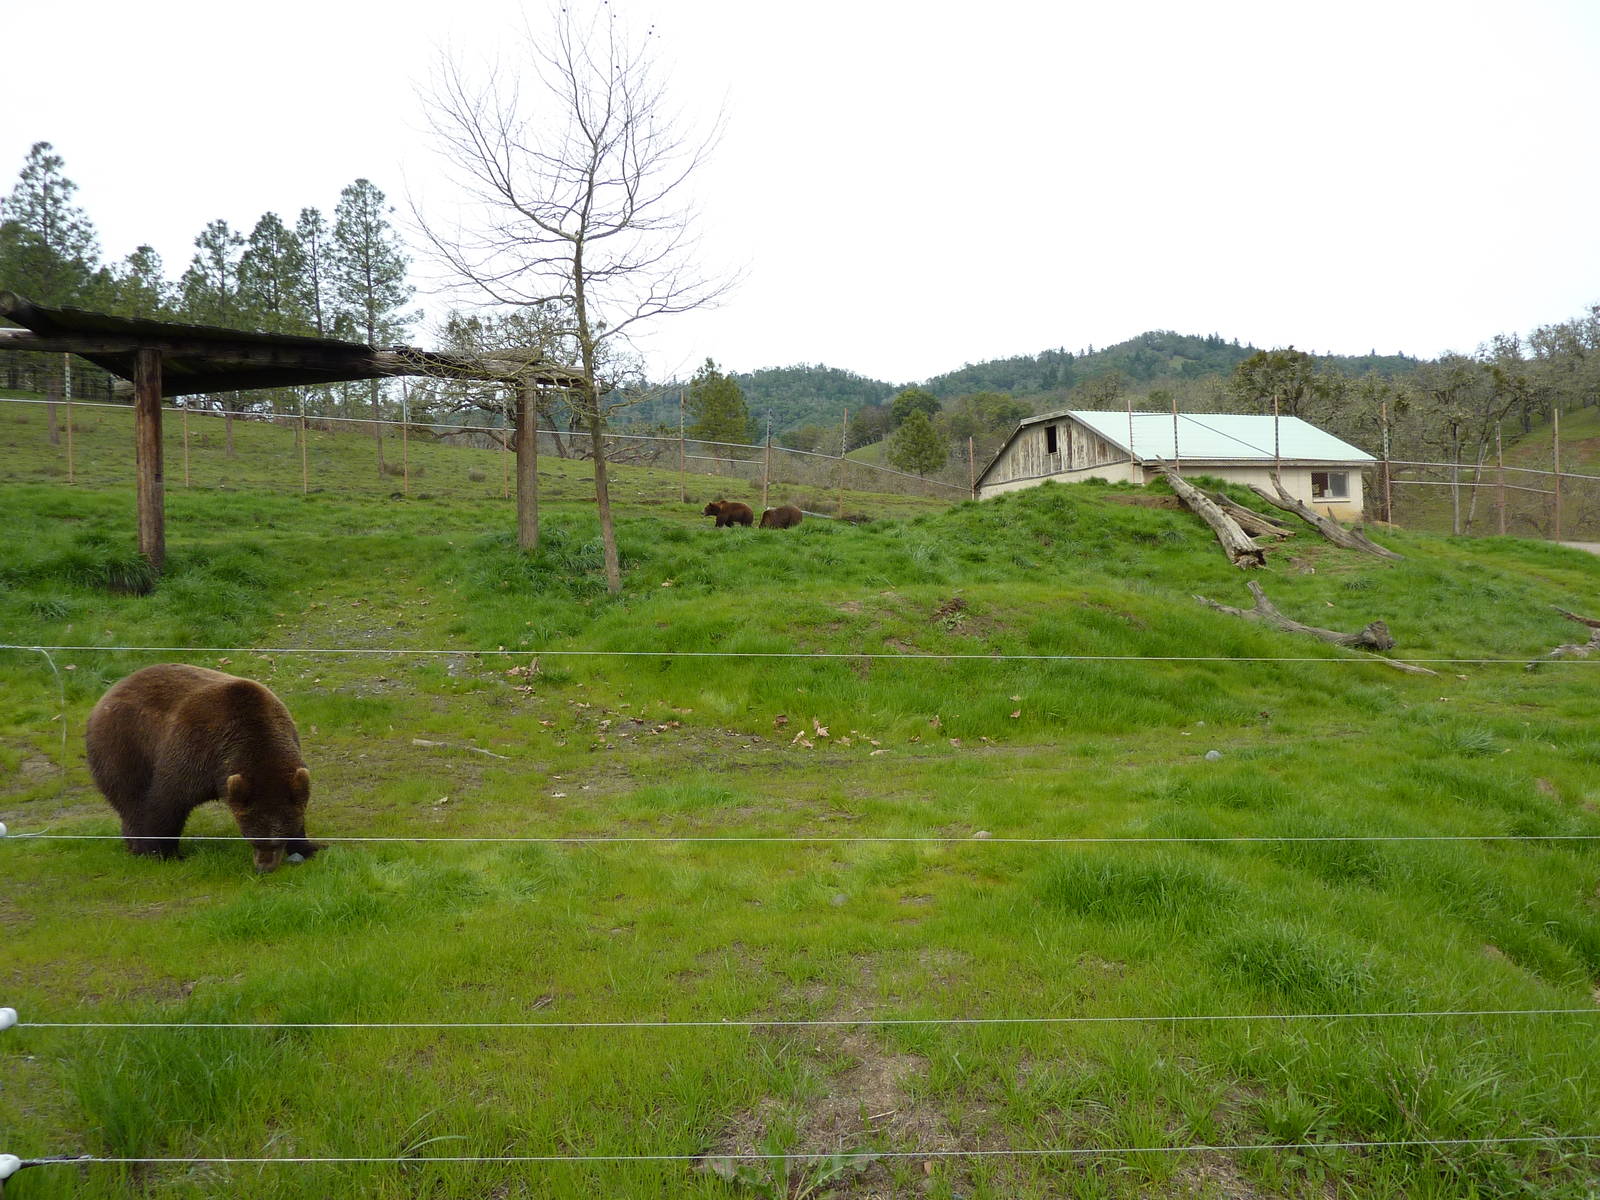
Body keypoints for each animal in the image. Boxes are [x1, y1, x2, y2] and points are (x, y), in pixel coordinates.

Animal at [85, 664, 320, 872]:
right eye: (252, 837)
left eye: (280, 837)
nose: (264, 867)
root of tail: (111, 690)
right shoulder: (196, 750)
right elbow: (167, 800)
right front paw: (162, 852)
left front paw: (308, 847)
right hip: (124, 746)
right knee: (131, 798)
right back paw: (138, 845)